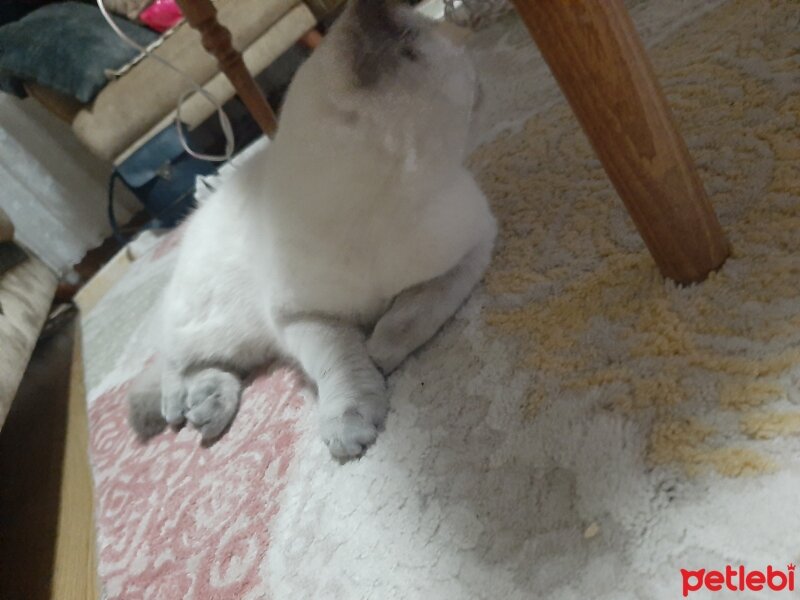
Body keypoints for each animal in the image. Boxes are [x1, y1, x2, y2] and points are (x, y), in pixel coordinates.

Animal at [128, 0, 496, 460]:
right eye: (475, 88)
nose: (488, 93)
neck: (374, 207)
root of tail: (199, 212)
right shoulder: (304, 317)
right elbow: (341, 365)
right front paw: (351, 421)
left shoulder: (473, 247)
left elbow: (412, 317)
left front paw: (381, 350)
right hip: (213, 322)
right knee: (170, 363)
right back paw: (183, 406)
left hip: (240, 339)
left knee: (210, 366)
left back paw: (207, 406)